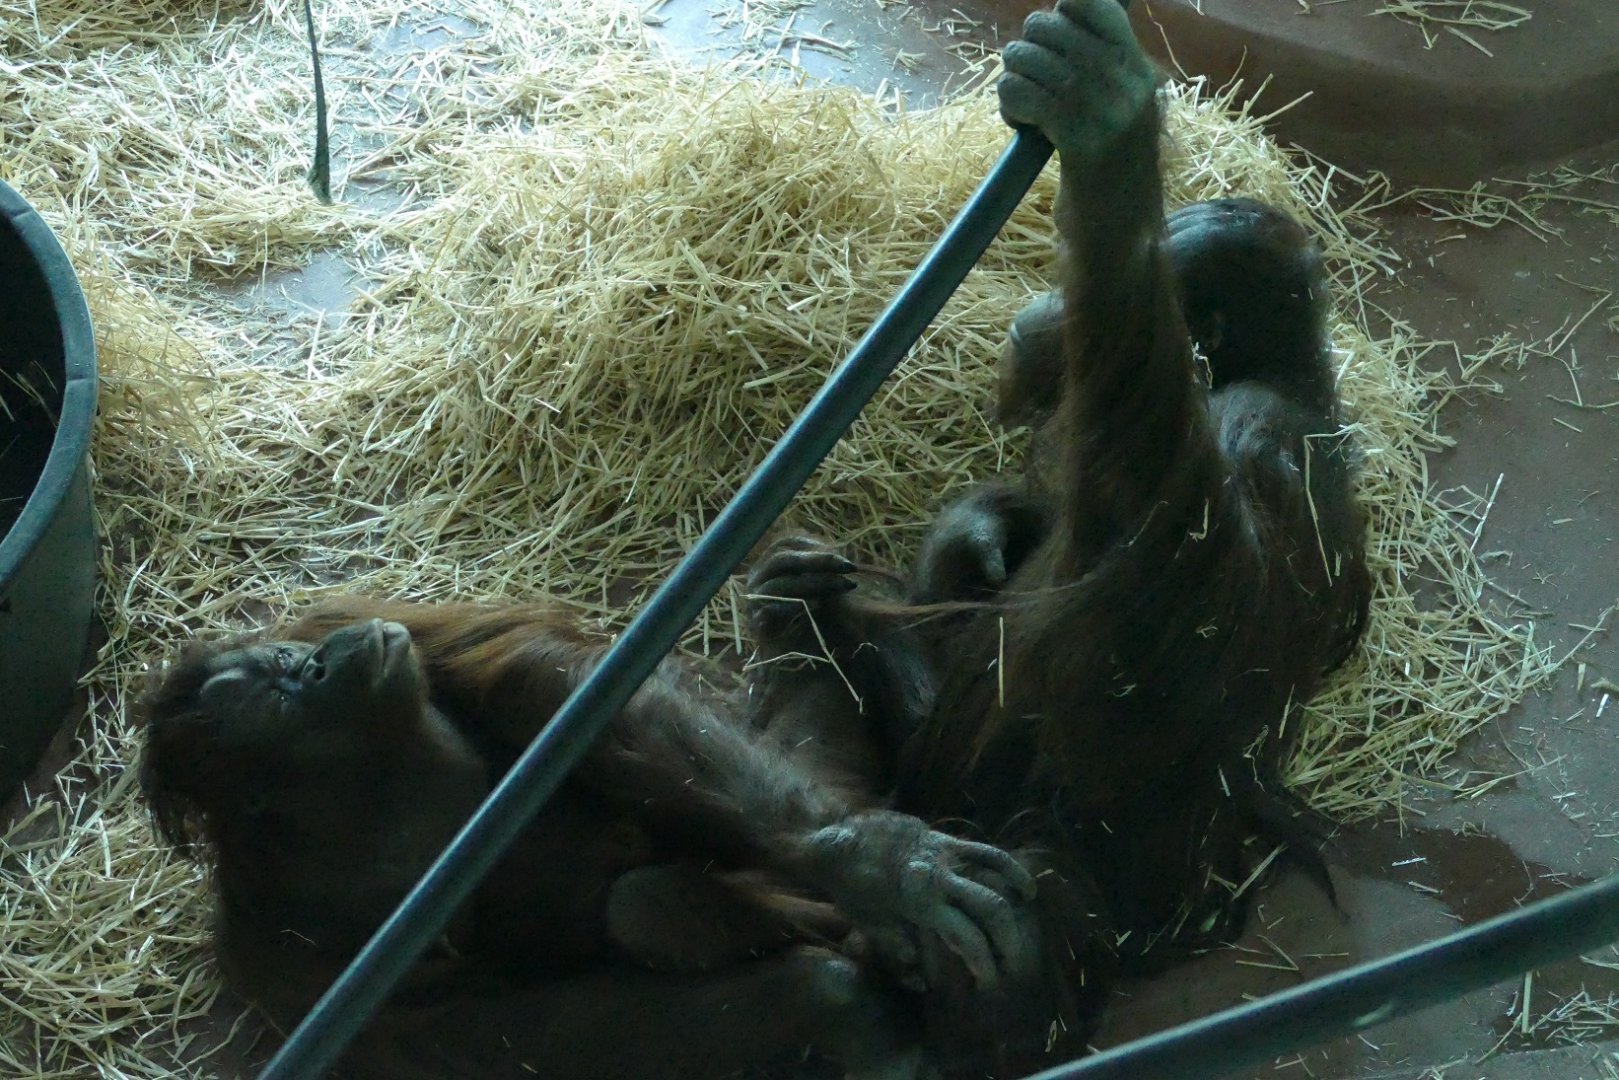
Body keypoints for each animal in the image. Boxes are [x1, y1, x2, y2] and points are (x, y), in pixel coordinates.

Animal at [140, 597, 1043, 1080]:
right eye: (281, 696)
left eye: (288, 660)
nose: (320, 661)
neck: (365, 790)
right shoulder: (283, 964)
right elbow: (505, 1028)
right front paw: (840, 1008)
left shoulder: (381, 620)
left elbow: (543, 678)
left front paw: (876, 865)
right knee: (642, 906)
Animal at [738, 1, 1373, 1074]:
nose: (1041, 300)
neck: (1286, 375)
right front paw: (969, 540)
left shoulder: (1242, 433)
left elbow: (1168, 583)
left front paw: (1107, 132)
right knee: (831, 633)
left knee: (1032, 895)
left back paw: (979, 991)